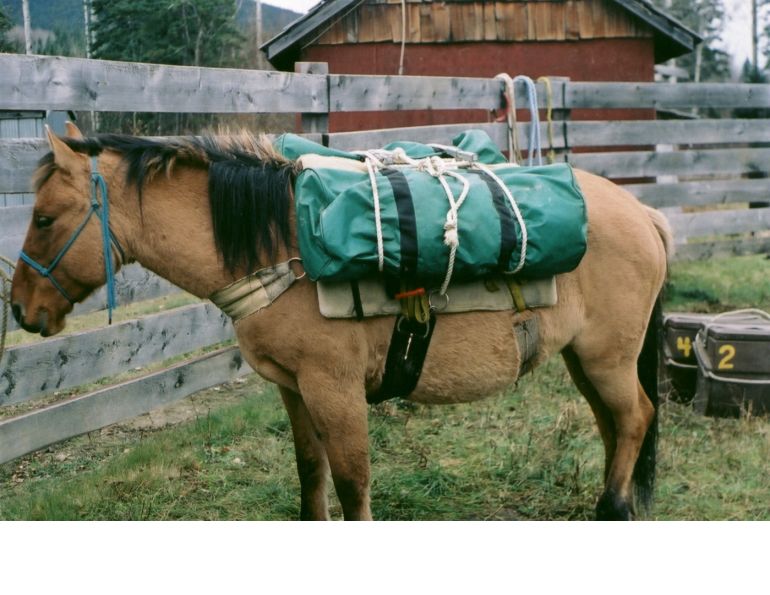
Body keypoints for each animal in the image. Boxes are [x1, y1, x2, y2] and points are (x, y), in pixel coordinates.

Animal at [10, 124, 671, 520]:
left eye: (43, 218)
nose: (19, 308)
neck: (283, 249)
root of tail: (644, 212)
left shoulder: (336, 389)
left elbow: (352, 484)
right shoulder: (293, 389)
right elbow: (312, 474)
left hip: (606, 357)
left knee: (635, 418)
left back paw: (612, 508)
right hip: (585, 359)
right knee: (615, 426)